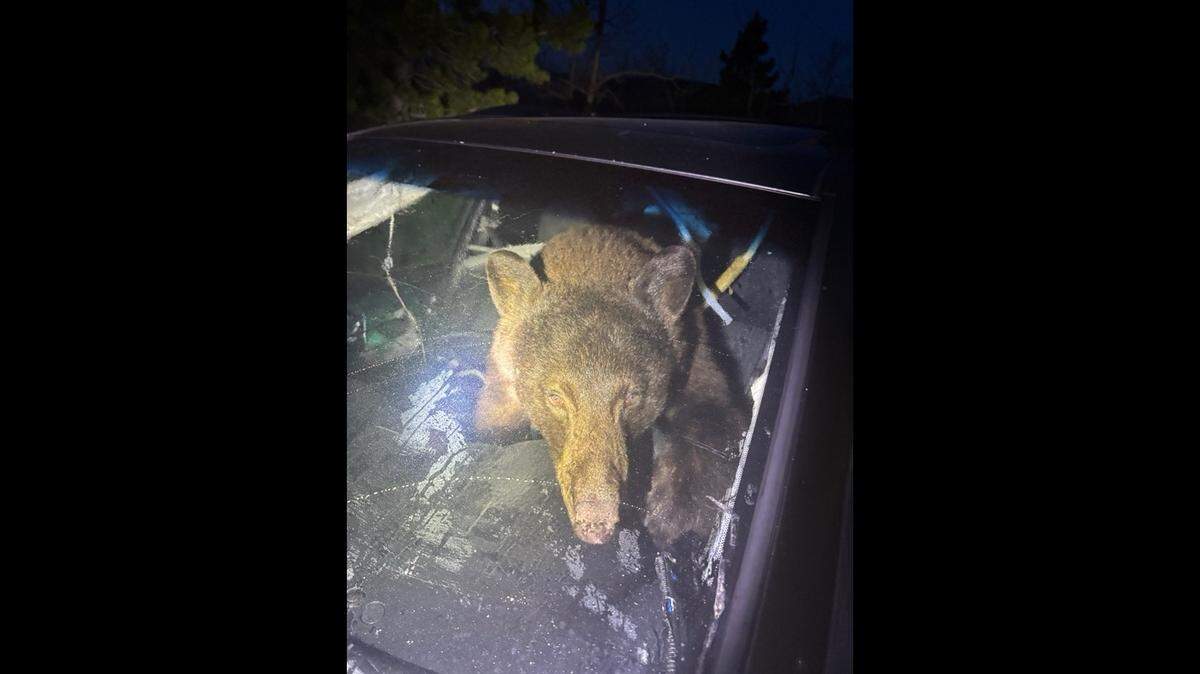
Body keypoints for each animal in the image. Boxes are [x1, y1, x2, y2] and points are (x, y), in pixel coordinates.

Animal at [473, 225, 751, 547]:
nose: (596, 523)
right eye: (554, 397)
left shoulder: (694, 355)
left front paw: (674, 512)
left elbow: (714, 424)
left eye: (633, 396)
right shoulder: (502, 378)